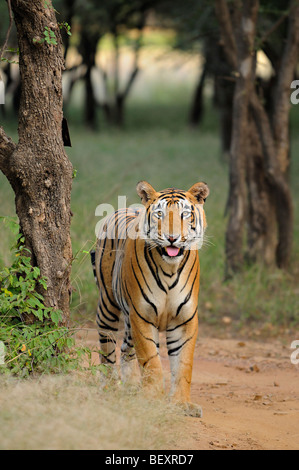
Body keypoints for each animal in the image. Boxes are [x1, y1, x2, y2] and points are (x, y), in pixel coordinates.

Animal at [91, 181, 211, 418]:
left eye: (185, 214)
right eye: (159, 214)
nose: (172, 238)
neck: (170, 269)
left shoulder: (184, 320)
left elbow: (183, 365)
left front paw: (182, 403)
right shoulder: (142, 316)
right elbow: (151, 361)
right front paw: (152, 400)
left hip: (128, 321)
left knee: (125, 350)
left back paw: (130, 387)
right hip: (108, 306)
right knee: (107, 348)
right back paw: (109, 387)